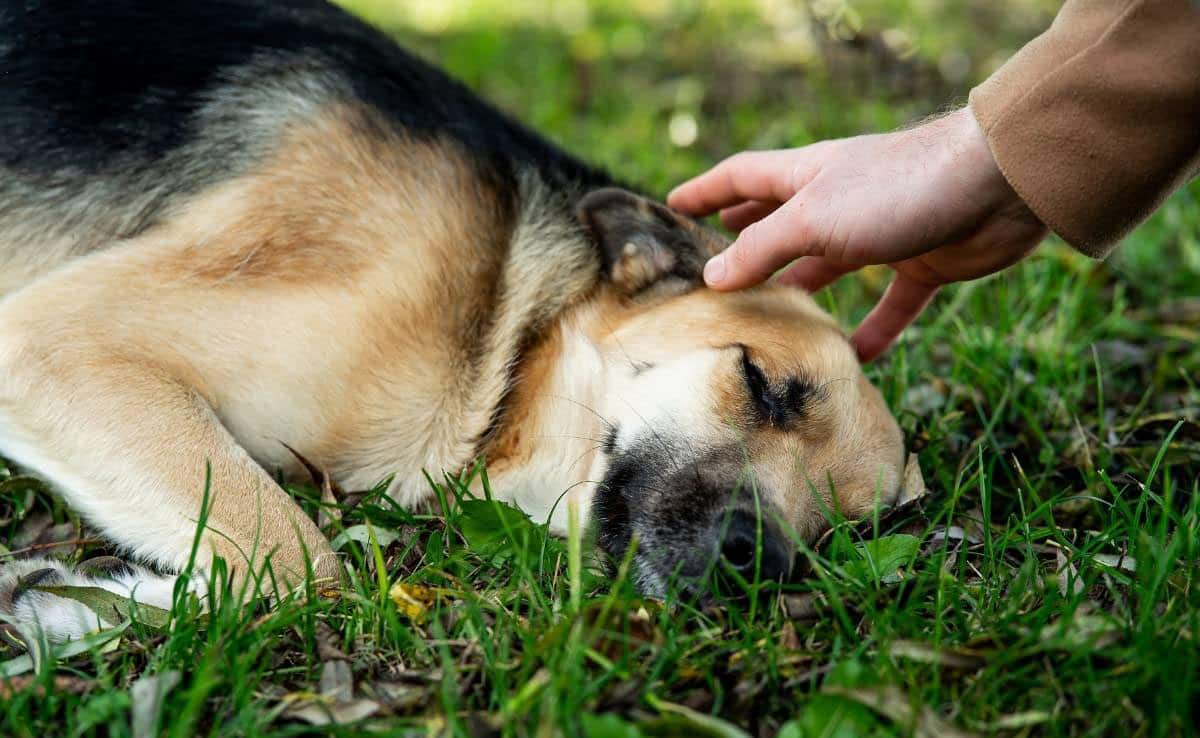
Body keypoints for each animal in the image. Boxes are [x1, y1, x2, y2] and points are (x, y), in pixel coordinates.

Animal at [0, 0, 902, 643]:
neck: (505, 334)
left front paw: (80, 610)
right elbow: (301, 558)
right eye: (761, 382)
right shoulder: (55, 340)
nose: (762, 563)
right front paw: (80, 609)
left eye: (847, 530)